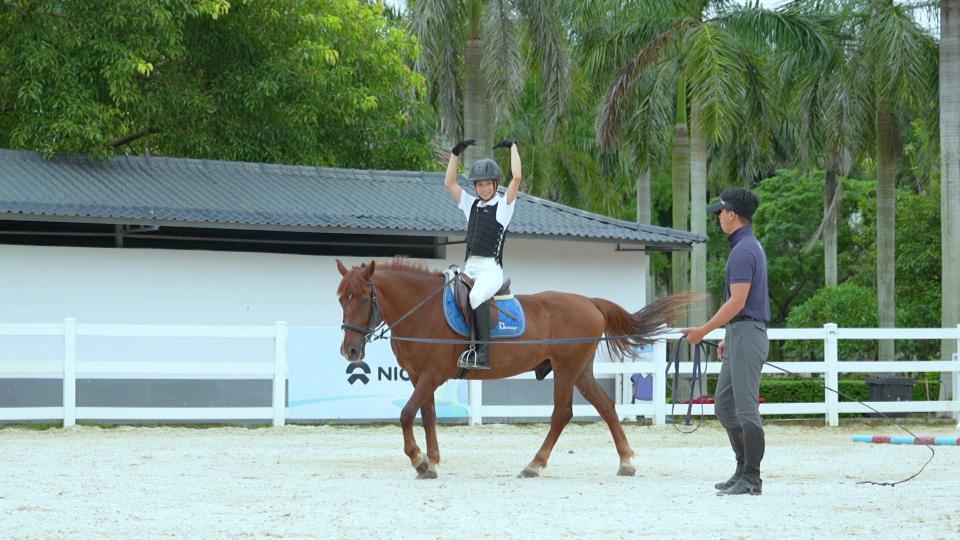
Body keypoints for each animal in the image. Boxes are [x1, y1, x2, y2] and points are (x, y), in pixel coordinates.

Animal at [334, 260, 688, 478]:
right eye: (341, 299)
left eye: (363, 298)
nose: (350, 351)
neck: (423, 310)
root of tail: (589, 302)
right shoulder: (419, 377)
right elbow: (428, 415)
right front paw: (431, 462)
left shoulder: (433, 374)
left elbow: (407, 414)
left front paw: (419, 461)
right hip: (582, 372)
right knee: (607, 407)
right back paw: (625, 462)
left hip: (566, 370)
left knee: (562, 414)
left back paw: (535, 465)